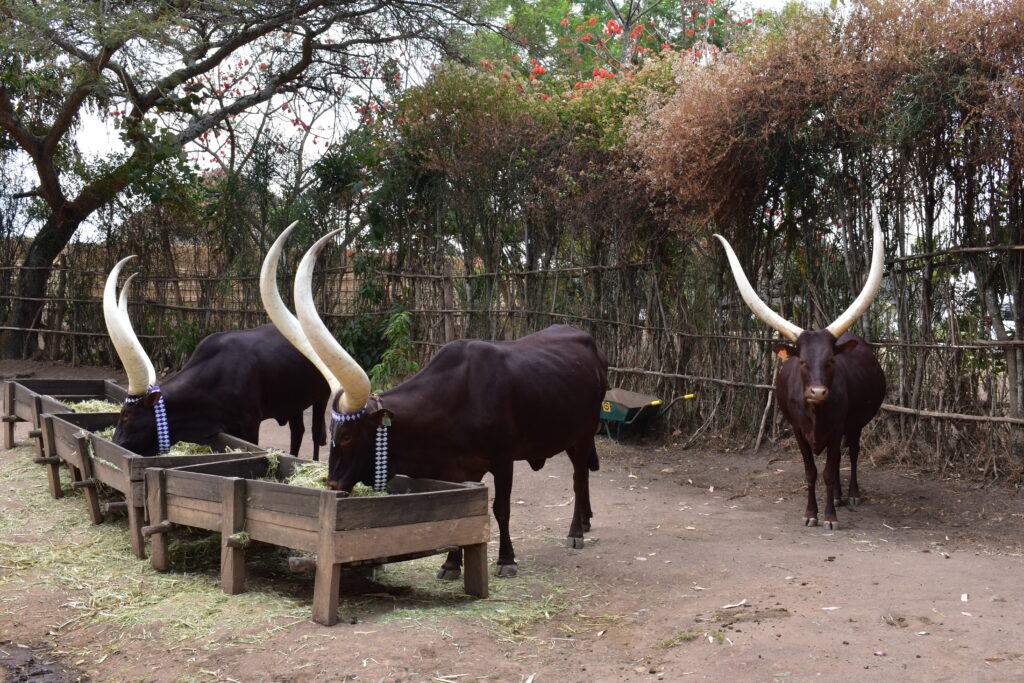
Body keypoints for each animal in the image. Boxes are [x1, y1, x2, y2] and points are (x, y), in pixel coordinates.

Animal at [103, 254, 327, 458]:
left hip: (321, 395)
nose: (116, 444)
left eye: (126, 415)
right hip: (295, 400)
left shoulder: (250, 425)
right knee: (297, 431)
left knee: (315, 433)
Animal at [264, 225, 610, 577]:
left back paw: (576, 531)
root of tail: (589, 341)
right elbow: (456, 509)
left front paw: (506, 560)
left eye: (347, 436)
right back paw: (585, 520)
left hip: (584, 433)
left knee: (579, 477)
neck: (456, 399)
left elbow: (501, 508)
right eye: (332, 434)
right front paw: (451, 563)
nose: (333, 486)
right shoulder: (455, 469)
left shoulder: (503, 460)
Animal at [712, 216, 888, 532]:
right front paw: (811, 513)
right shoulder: (797, 431)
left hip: (856, 424)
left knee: (853, 452)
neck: (816, 413)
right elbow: (811, 473)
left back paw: (852, 494)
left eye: (831, 360)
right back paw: (840, 497)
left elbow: (829, 471)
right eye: (803, 361)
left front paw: (829, 517)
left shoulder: (838, 427)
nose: (817, 392)